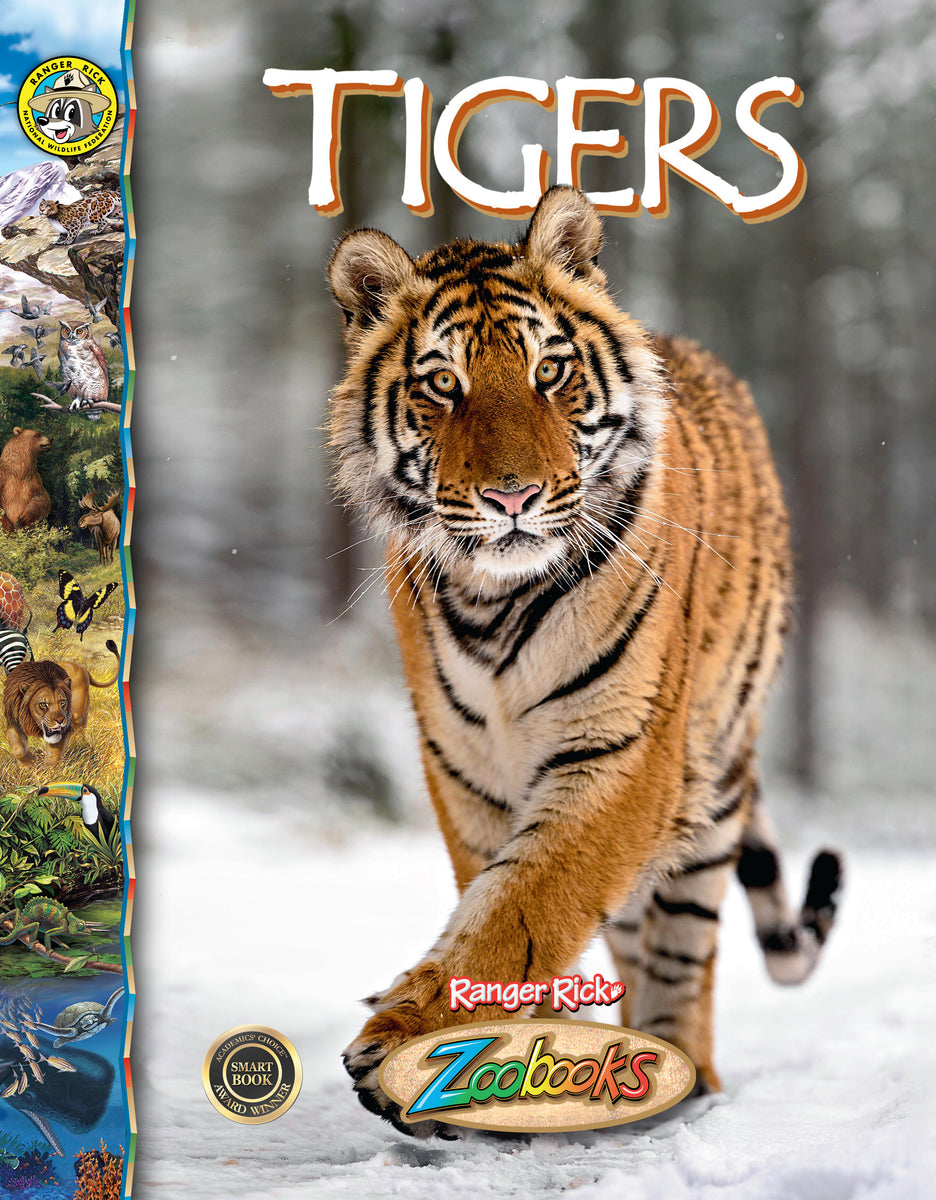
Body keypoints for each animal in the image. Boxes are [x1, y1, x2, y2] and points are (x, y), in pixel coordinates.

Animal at [326, 186, 842, 1135]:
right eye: (443, 383)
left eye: (549, 372)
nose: (513, 496)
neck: (492, 604)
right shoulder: (465, 774)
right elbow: (501, 904)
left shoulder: (623, 757)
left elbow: (522, 909)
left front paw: (402, 1048)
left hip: (713, 786)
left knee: (680, 953)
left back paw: (679, 1080)